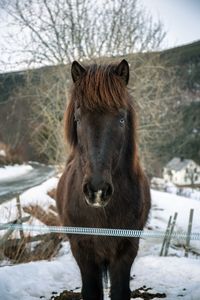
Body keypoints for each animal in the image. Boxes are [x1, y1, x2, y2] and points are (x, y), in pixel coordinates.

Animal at [55, 59, 150, 300]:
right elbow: (91, 291)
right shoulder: (82, 250)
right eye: (78, 119)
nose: (97, 190)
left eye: (122, 118)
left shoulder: (127, 249)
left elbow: (119, 291)